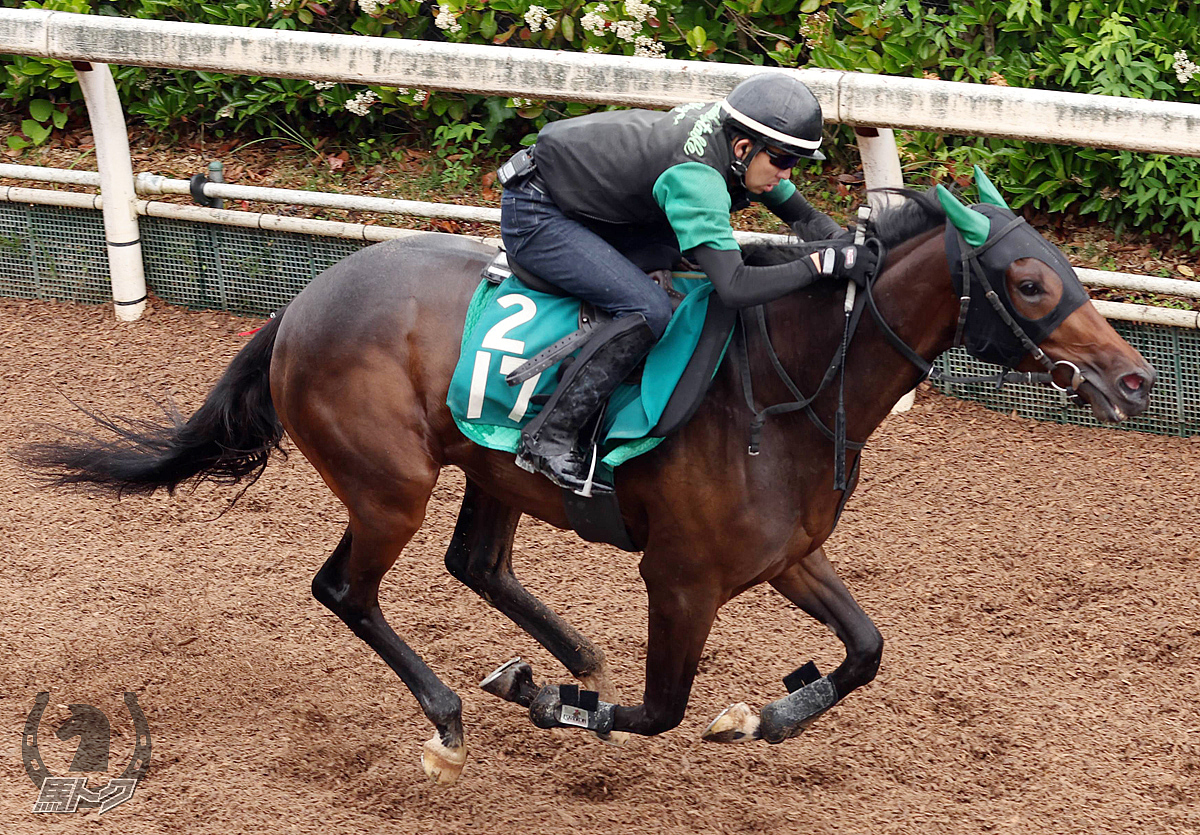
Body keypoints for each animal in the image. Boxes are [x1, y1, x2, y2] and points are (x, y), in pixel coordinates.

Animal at [25, 185, 1152, 787]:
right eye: (1030, 283)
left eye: (1069, 270)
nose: (1136, 377)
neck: (781, 386)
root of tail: (297, 308)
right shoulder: (683, 579)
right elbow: (657, 711)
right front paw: (556, 700)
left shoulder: (787, 555)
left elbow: (869, 647)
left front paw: (772, 713)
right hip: (391, 485)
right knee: (347, 588)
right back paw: (458, 713)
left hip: (487, 466)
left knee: (474, 561)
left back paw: (565, 653)